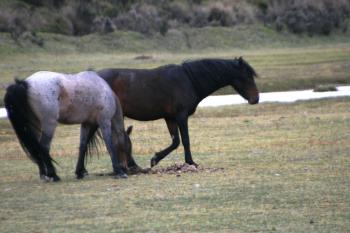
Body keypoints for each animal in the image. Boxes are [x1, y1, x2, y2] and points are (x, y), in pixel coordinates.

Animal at [98, 57, 260, 168]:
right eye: (246, 76)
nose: (256, 99)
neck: (189, 80)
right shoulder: (181, 116)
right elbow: (186, 140)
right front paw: (190, 162)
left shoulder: (170, 118)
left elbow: (175, 141)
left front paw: (155, 159)